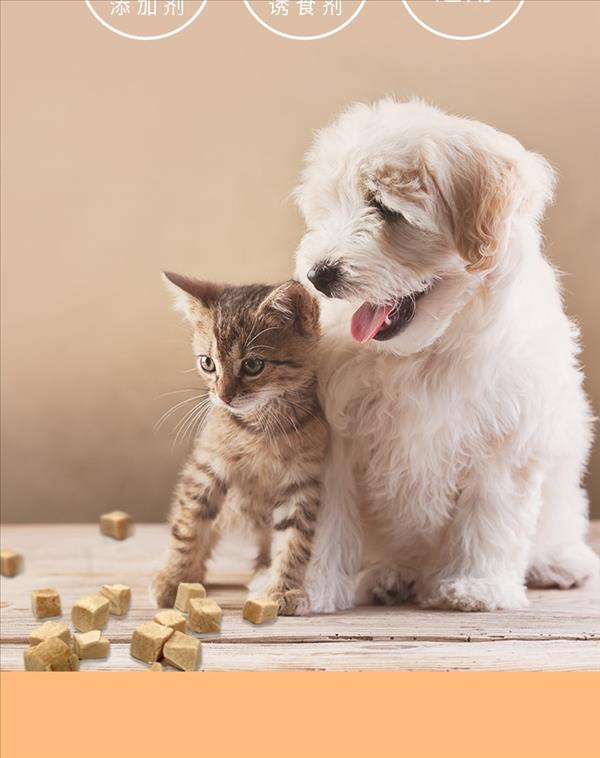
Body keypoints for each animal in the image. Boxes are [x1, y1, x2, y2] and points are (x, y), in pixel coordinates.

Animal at [151, 274, 328, 616]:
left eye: (253, 365)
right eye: (207, 363)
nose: (223, 396)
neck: (260, 427)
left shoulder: (302, 481)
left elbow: (294, 540)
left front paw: (284, 588)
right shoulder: (206, 468)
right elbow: (188, 525)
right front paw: (175, 579)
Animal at [292, 99, 596, 612]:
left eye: (385, 209)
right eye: (327, 208)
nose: (319, 274)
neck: (424, 352)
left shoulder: (505, 435)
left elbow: (490, 514)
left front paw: (476, 586)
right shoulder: (335, 434)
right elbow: (325, 516)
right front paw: (305, 586)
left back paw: (558, 561)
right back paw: (391, 575)